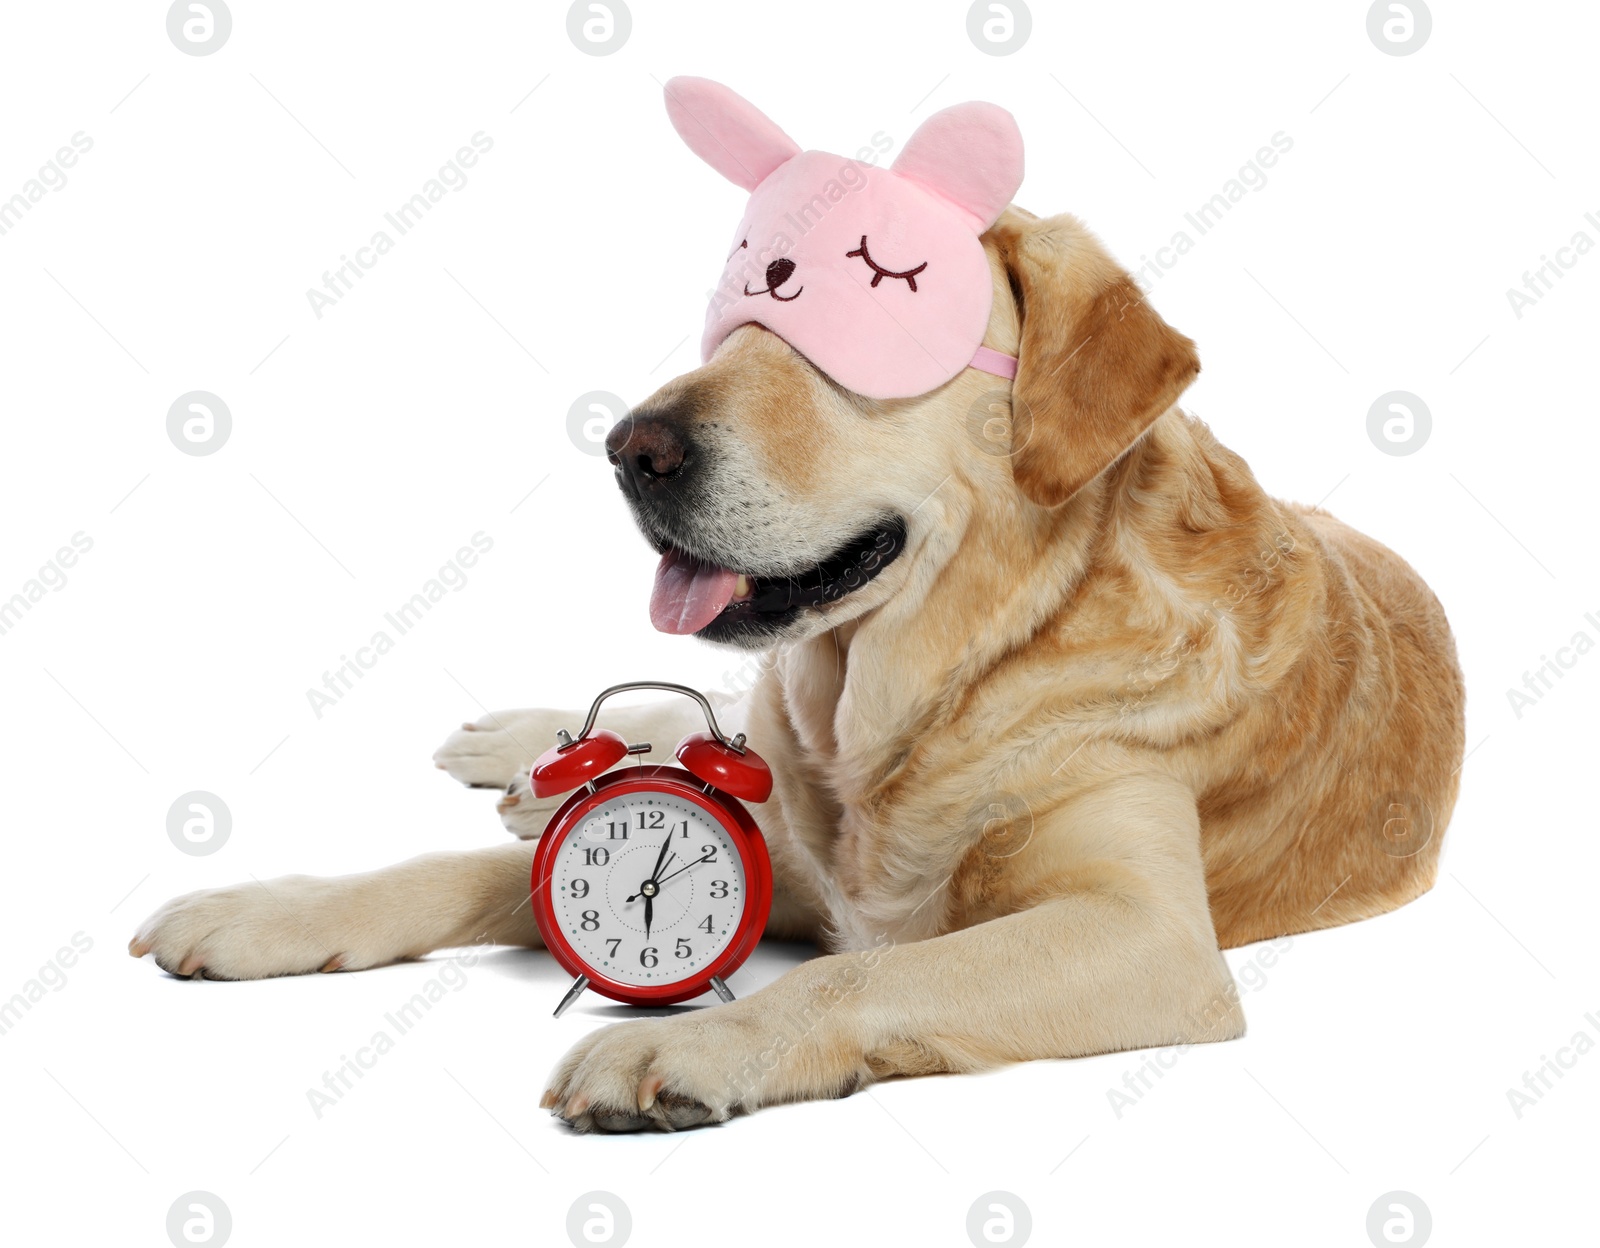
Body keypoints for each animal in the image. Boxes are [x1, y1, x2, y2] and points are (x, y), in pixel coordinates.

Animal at [134, 87, 1465, 1139]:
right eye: (739, 309)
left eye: (880, 298)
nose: (631, 449)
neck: (932, 684)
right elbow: (457, 869)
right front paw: (266, 909)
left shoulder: (1148, 937)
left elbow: (860, 975)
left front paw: (684, 1044)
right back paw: (526, 754)